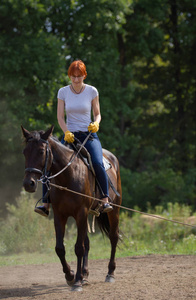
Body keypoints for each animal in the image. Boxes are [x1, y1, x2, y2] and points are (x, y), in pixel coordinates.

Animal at [21, 125, 122, 292]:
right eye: (25, 151)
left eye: (41, 151)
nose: (28, 184)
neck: (68, 175)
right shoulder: (59, 215)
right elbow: (60, 248)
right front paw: (71, 276)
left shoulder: (80, 213)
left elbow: (79, 248)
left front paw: (77, 282)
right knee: (87, 242)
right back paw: (85, 275)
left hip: (114, 210)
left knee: (113, 238)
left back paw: (110, 273)